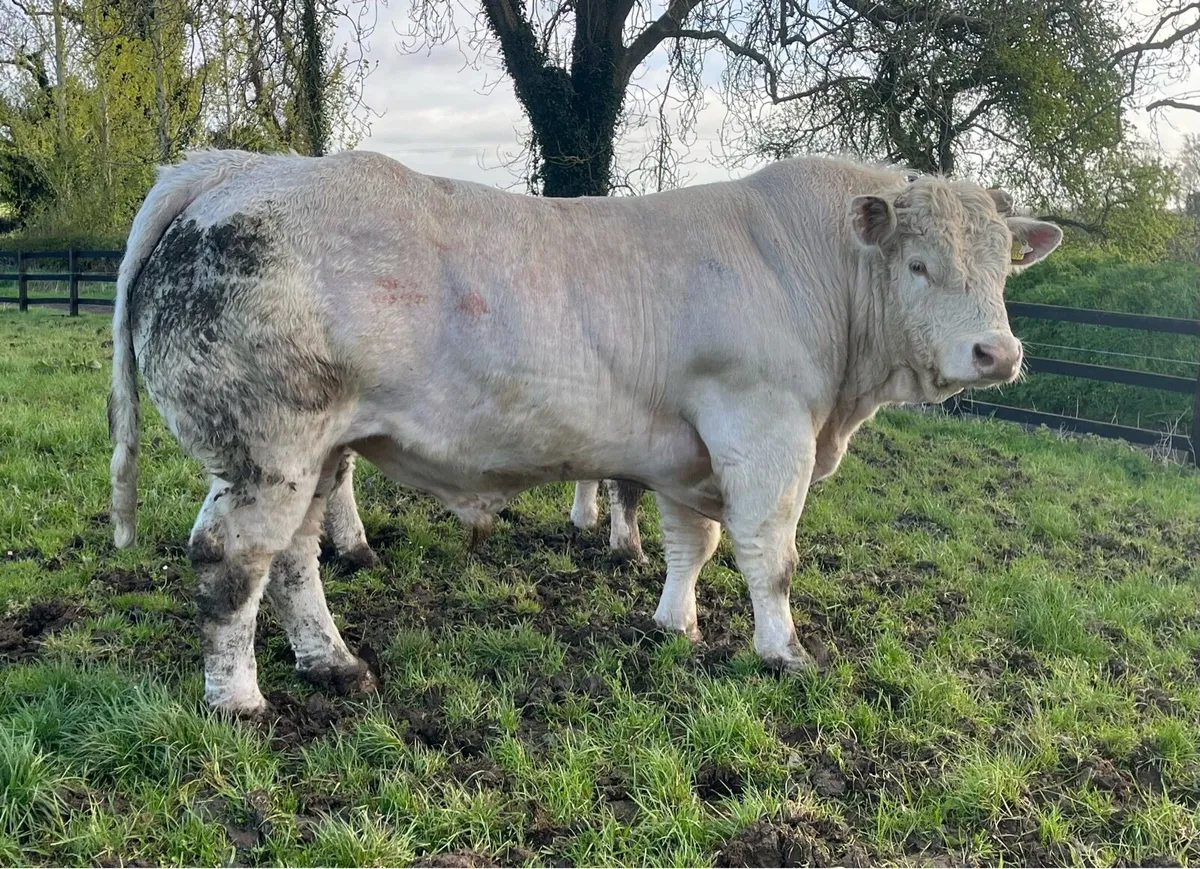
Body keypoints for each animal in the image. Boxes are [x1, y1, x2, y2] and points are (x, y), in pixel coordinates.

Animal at [108, 149, 1061, 715]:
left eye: (1001, 269)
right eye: (919, 265)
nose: (998, 351)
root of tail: (234, 167)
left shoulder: (689, 448)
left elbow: (693, 542)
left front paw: (674, 623)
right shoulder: (762, 428)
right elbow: (769, 554)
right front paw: (784, 652)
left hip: (317, 453)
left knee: (297, 559)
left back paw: (332, 662)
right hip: (267, 448)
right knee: (231, 561)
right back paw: (237, 699)